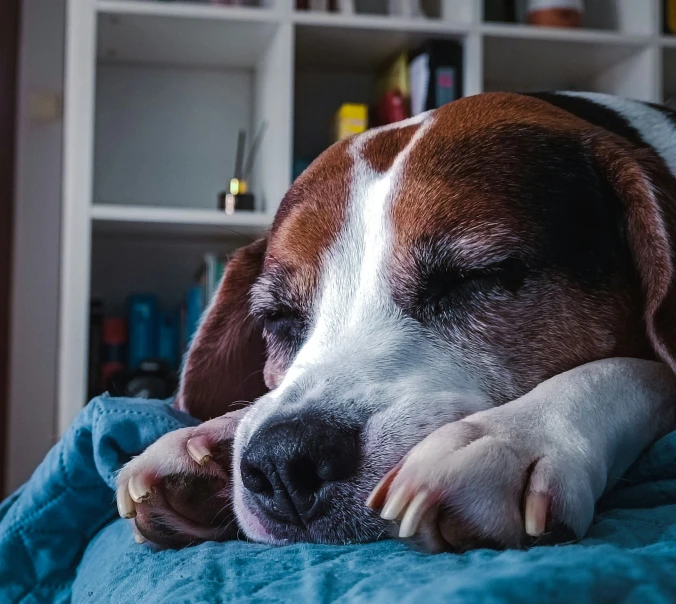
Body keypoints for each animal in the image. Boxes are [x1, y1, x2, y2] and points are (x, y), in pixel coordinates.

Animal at [119, 93, 676, 552]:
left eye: (475, 276)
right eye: (276, 317)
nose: (282, 461)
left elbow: (639, 369)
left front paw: (515, 435)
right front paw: (211, 442)